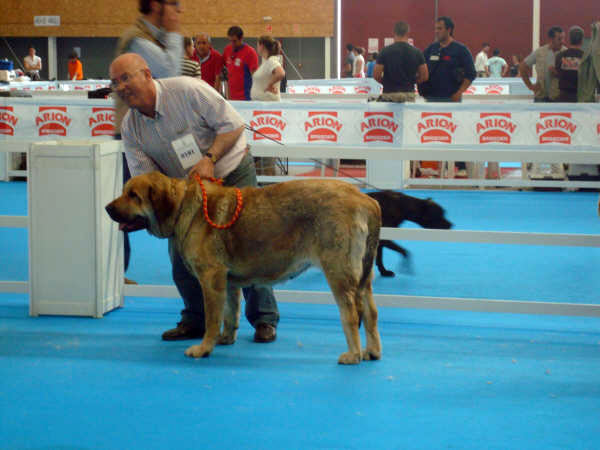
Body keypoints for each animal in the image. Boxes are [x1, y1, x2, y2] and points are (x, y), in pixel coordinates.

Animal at [105, 171, 382, 364]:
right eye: (125, 191)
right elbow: (230, 314)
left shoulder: (211, 278)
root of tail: (367, 200)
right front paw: (225, 339)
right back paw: (372, 352)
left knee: (351, 314)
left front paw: (204, 347)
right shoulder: (228, 282)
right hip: (363, 277)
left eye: (133, 195)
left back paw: (353, 354)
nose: (107, 207)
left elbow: (213, 317)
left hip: (338, 272)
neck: (184, 207)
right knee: (371, 312)